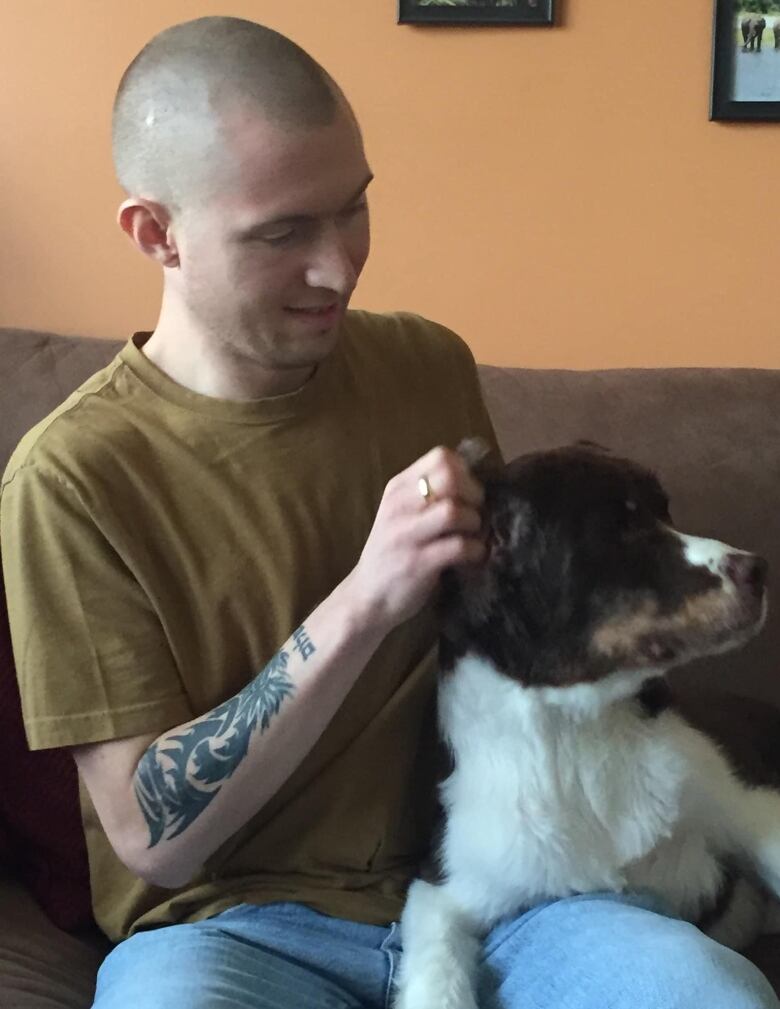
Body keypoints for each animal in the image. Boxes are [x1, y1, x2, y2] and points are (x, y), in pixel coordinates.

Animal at [395, 445, 770, 1008]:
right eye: (621, 527)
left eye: (665, 511)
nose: (760, 569)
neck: (575, 730)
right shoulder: (445, 888)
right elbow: (438, 976)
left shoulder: (742, 805)